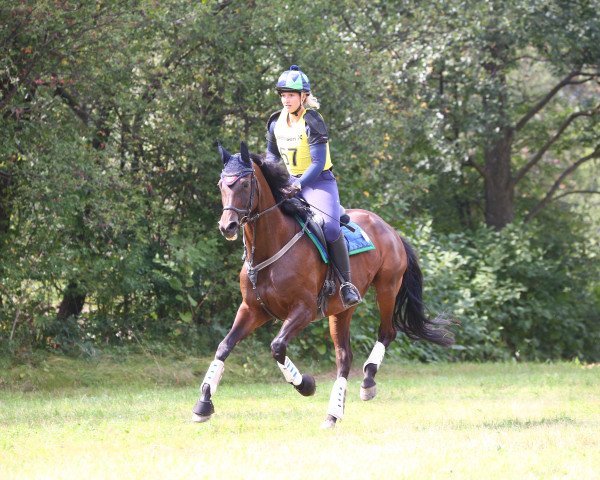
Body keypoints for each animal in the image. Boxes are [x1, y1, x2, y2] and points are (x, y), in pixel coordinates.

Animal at [193, 142, 454, 428]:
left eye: (244, 183)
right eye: (221, 184)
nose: (226, 226)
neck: (270, 247)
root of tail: (390, 229)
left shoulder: (303, 310)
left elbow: (277, 347)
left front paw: (305, 384)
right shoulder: (253, 310)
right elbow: (224, 347)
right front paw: (203, 403)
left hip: (387, 288)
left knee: (387, 333)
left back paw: (367, 382)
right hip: (341, 311)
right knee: (344, 358)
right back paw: (334, 413)